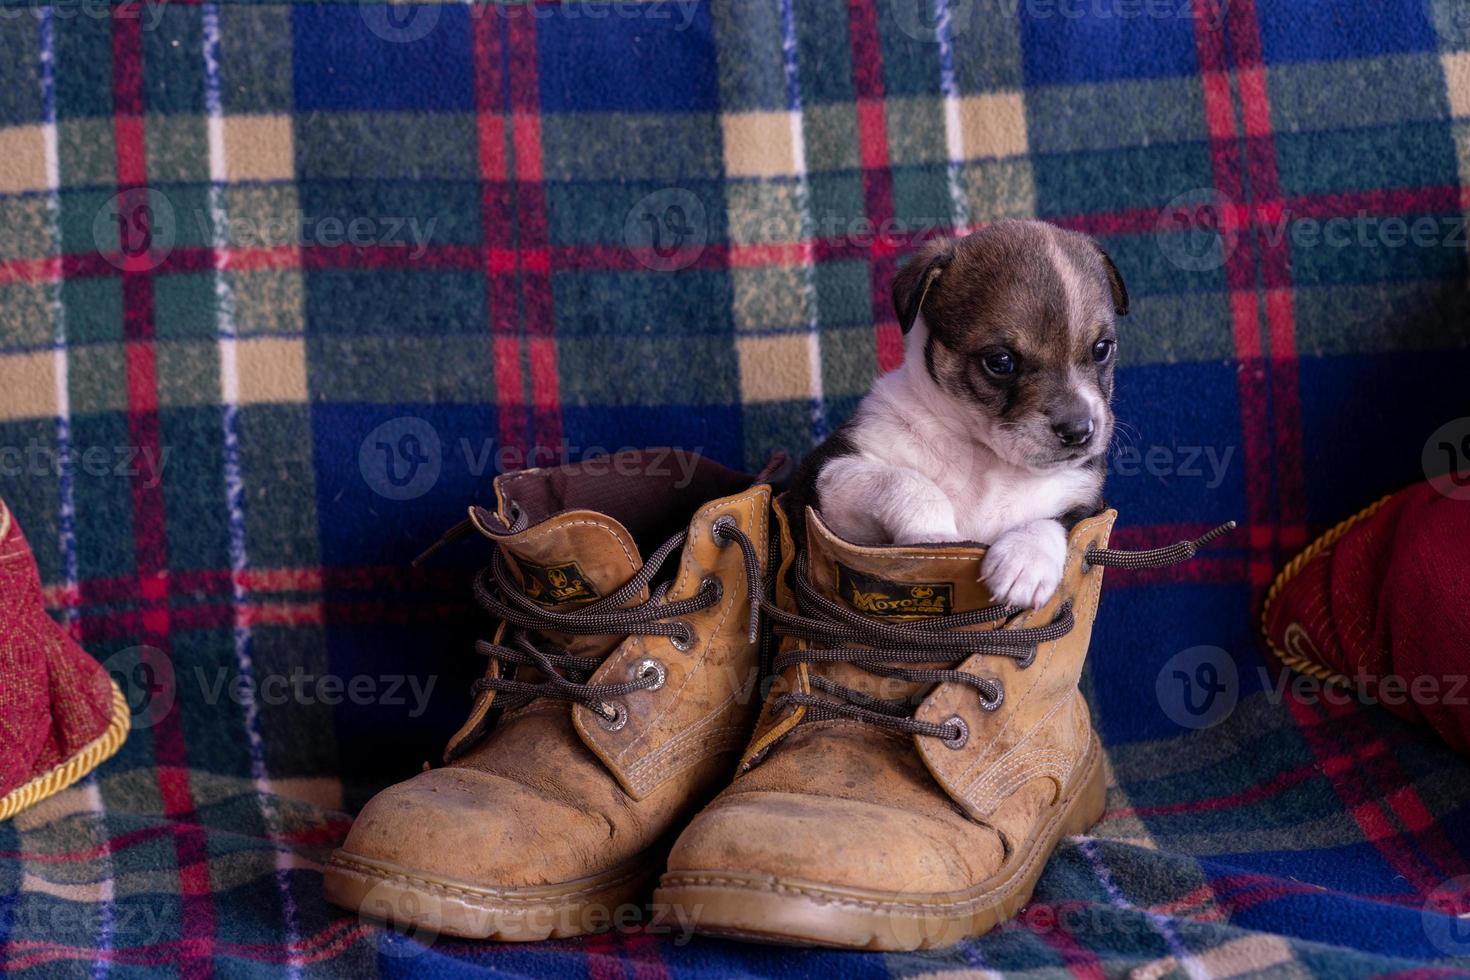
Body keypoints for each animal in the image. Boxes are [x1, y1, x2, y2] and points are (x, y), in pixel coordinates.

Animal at [793, 218, 1123, 608]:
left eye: (1102, 349)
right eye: (1000, 362)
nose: (1078, 430)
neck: (987, 457)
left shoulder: (1084, 503)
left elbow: (1057, 522)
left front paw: (1025, 558)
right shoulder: (828, 475)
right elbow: (906, 481)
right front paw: (932, 536)